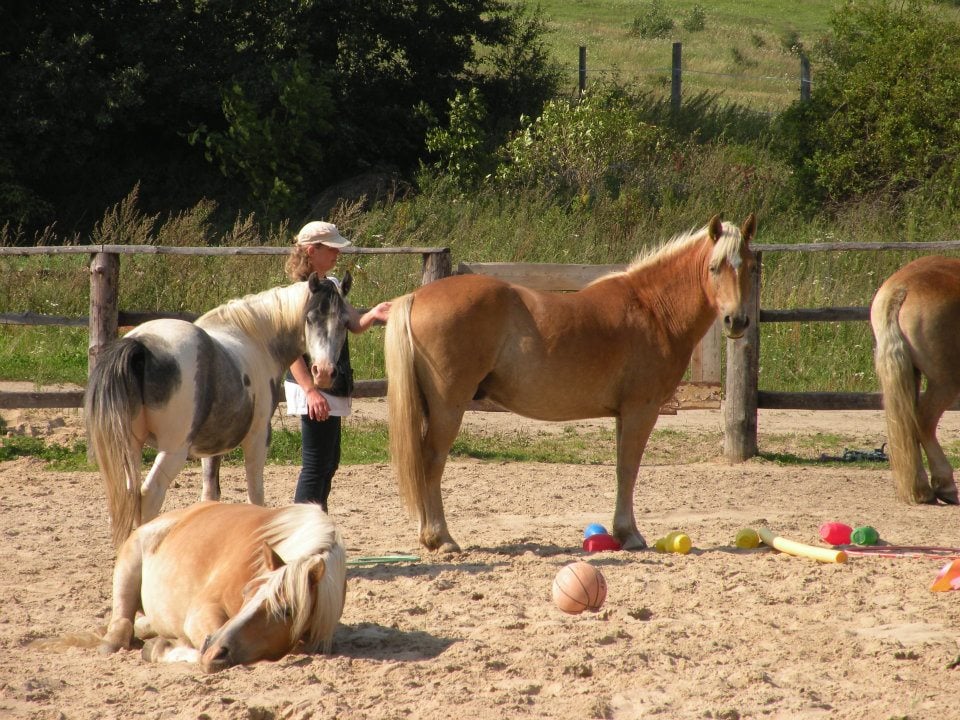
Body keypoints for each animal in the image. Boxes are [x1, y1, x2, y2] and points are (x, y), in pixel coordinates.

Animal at [85, 272, 353, 548]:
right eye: (309, 318)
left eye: (344, 322)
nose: (324, 372)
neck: (256, 339)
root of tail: (140, 345)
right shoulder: (258, 438)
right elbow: (255, 493)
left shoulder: (212, 447)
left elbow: (209, 495)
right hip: (173, 451)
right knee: (149, 495)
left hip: (130, 445)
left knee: (129, 495)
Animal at [97, 501, 347, 672]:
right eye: (246, 592)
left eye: (286, 610)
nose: (216, 649)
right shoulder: (201, 613)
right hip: (128, 566)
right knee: (121, 625)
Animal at [385, 214, 757, 553]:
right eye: (714, 267)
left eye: (750, 267)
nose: (736, 321)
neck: (653, 309)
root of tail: (417, 296)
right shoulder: (641, 410)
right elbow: (628, 469)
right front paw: (630, 534)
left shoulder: (624, 414)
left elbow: (622, 469)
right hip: (449, 406)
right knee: (431, 461)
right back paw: (441, 539)